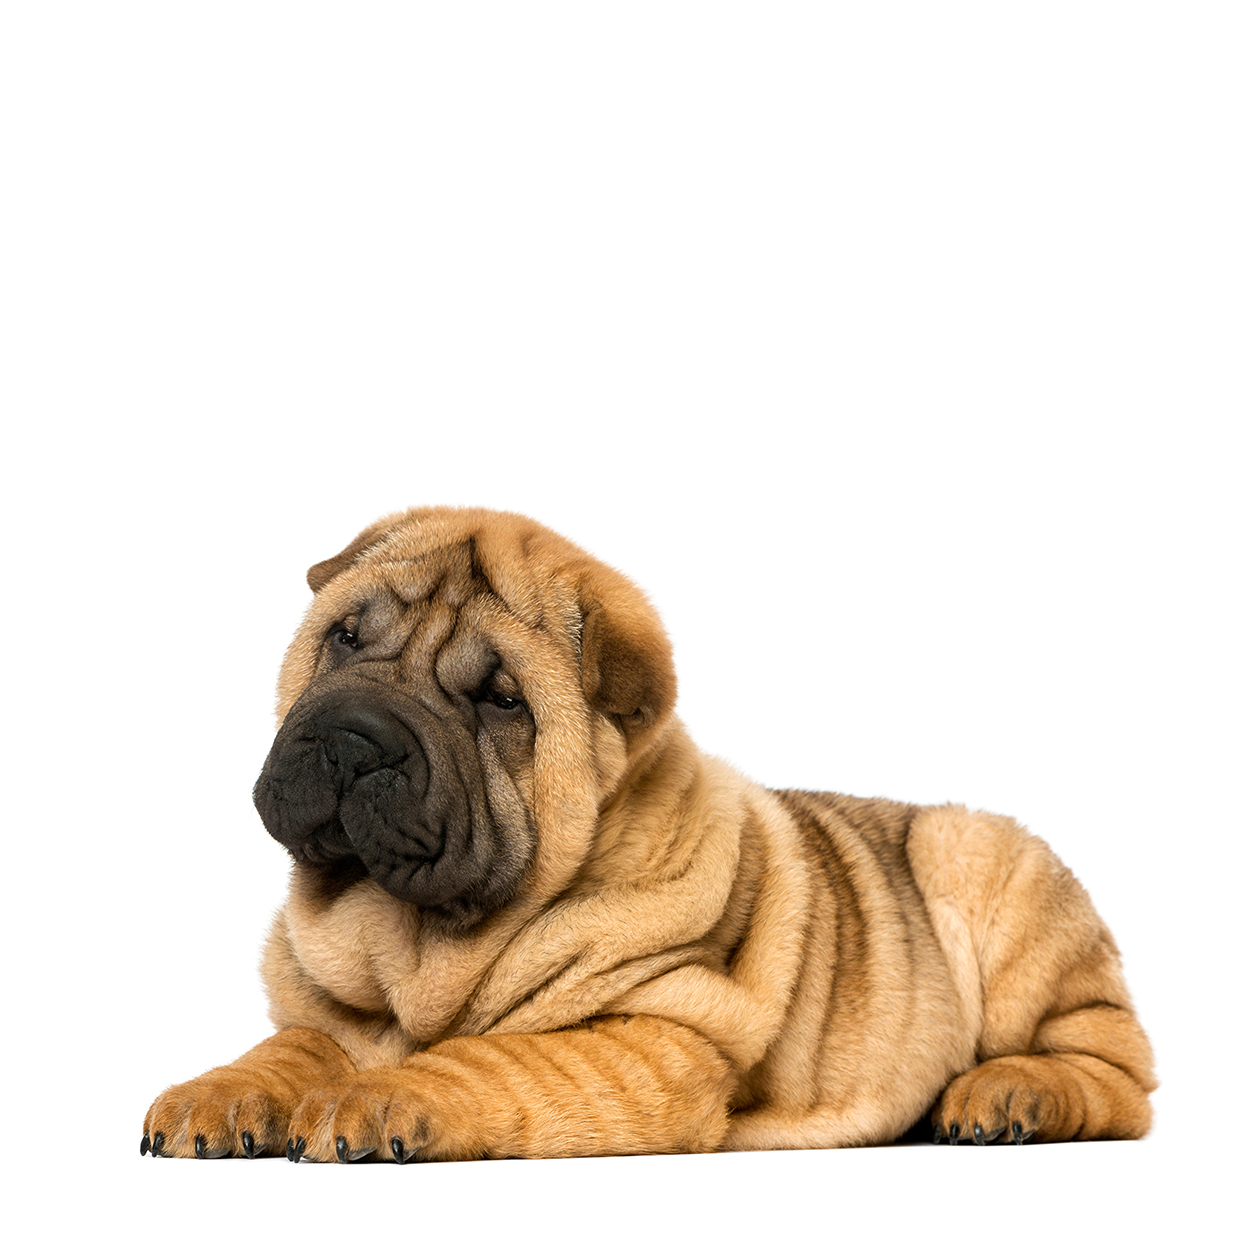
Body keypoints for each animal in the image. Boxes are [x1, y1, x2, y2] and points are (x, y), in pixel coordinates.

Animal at [141, 507, 1155, 1160]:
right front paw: (213, 1095)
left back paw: (1007, 1093)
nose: (353, 738)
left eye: (500, 700)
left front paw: (384, 1094)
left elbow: (488, 1056)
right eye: (345, 638)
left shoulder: (658, 1034)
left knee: (1118, 1072)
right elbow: (290, 1049)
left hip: (978, 861)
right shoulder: (331, 1011)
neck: (408, 945)